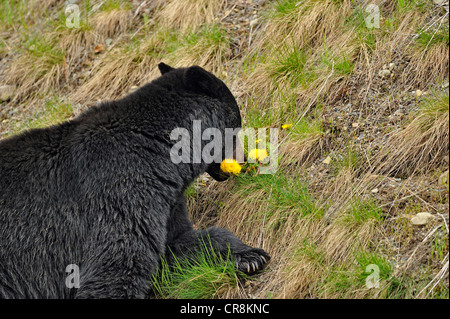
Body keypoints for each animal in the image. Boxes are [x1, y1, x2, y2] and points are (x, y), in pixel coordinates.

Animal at [0, 63, 268, 298]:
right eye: (237, 122)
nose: (244, 160)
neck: (159, 153)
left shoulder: (165, 201)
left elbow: (177, 243)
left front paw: (250, 256)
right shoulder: (119, 193)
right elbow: (117, 268)